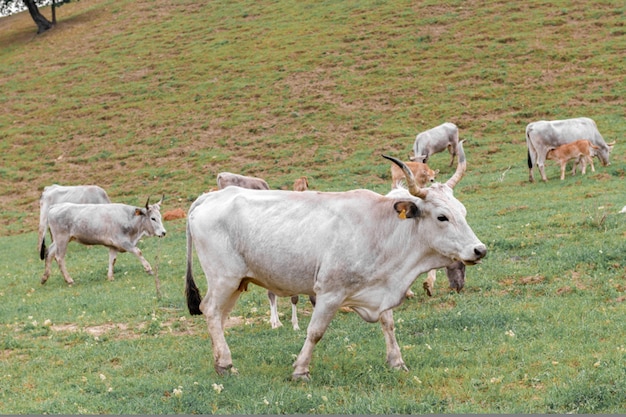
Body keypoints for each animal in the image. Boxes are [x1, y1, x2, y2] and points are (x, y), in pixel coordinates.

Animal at [183, 141, 486, 378]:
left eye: (463, 211)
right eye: (442, 217)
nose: (479, 250)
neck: (382, 228)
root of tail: (208, 198)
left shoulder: (381, 284)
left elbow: (388, 324)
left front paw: (397, 361)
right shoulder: (329, 291)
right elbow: (315, 331)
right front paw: (300, 370)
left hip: (237, 283)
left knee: (219, 316)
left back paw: (220, 360)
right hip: (224, 278)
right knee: (211, 310)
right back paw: (225, 363)